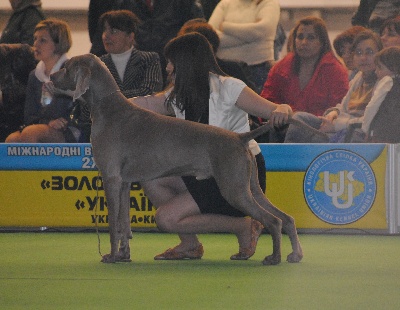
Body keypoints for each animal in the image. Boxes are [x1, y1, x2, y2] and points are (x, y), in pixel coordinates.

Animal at [50, 54, 304, 266]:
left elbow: (113, 223)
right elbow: (124, 224)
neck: (106, 107)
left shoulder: (110, 178)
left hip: (234, 189)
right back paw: (294, 254)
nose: (50, 76)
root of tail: (239, 137)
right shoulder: (123, 183)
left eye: (66, 67)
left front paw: (111, 256)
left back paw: (274, 258)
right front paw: (123, 255)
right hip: (250, 186)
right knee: (286, 218)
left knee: (273, 220)